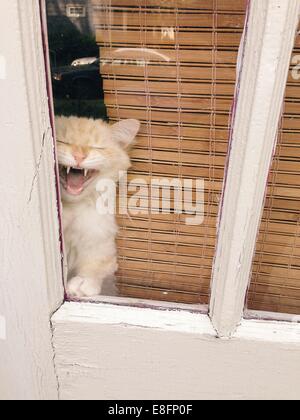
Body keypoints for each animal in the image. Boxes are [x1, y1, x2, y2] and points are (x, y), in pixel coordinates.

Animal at [54, 115, 141, 298]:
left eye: (97, 147)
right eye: (62, 141)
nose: (79, 156)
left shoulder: (102, 245)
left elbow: (95, 267)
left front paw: (82, 284)